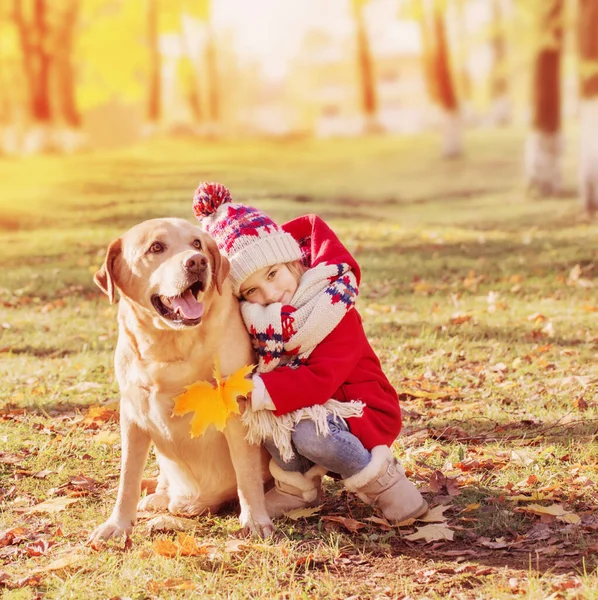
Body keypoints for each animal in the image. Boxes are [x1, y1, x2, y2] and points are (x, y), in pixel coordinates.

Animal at [88, 218, 274, 540]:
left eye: (197, 243)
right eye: (156, 247)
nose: (197, 262)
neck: (168, 346)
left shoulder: (237, 410)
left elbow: (247, 474)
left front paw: (255, 519)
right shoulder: (132, 415)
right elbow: (128, 477)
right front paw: (118, 524)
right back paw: (159, 497)